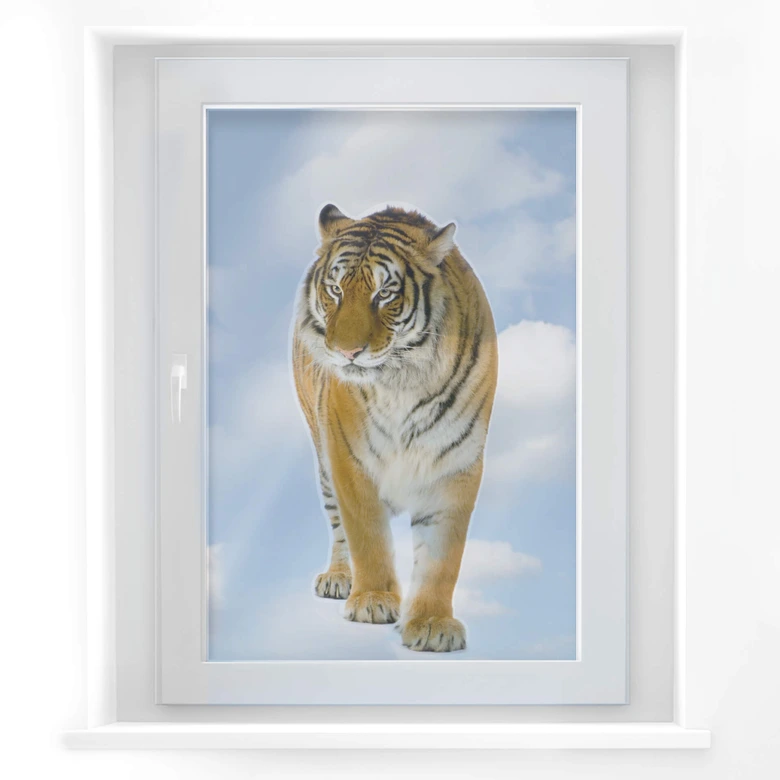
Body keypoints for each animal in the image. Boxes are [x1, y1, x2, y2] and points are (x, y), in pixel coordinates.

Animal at [292, 204, 498, 652]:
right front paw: (372, 600)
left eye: (384, 294)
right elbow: (366, 535)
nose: (347, 352)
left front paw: (433, 623)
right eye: (335, 290)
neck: (403, 380)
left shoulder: (456, 461)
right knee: (338, 524)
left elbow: (442, 556)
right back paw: (338, 578)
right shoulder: (349, 457)